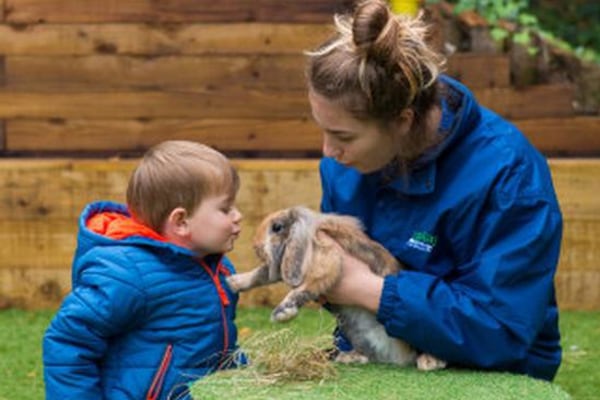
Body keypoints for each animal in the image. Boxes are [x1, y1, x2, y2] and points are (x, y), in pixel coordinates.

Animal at [225, 206, 446, 372]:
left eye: (277, 227)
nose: (256, 246)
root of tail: (400, 357)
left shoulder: (327, 259)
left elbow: (303, 288)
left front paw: (282, 313)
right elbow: (260, 274)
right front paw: (233, 282)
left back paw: (430, 361)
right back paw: (349, 357)